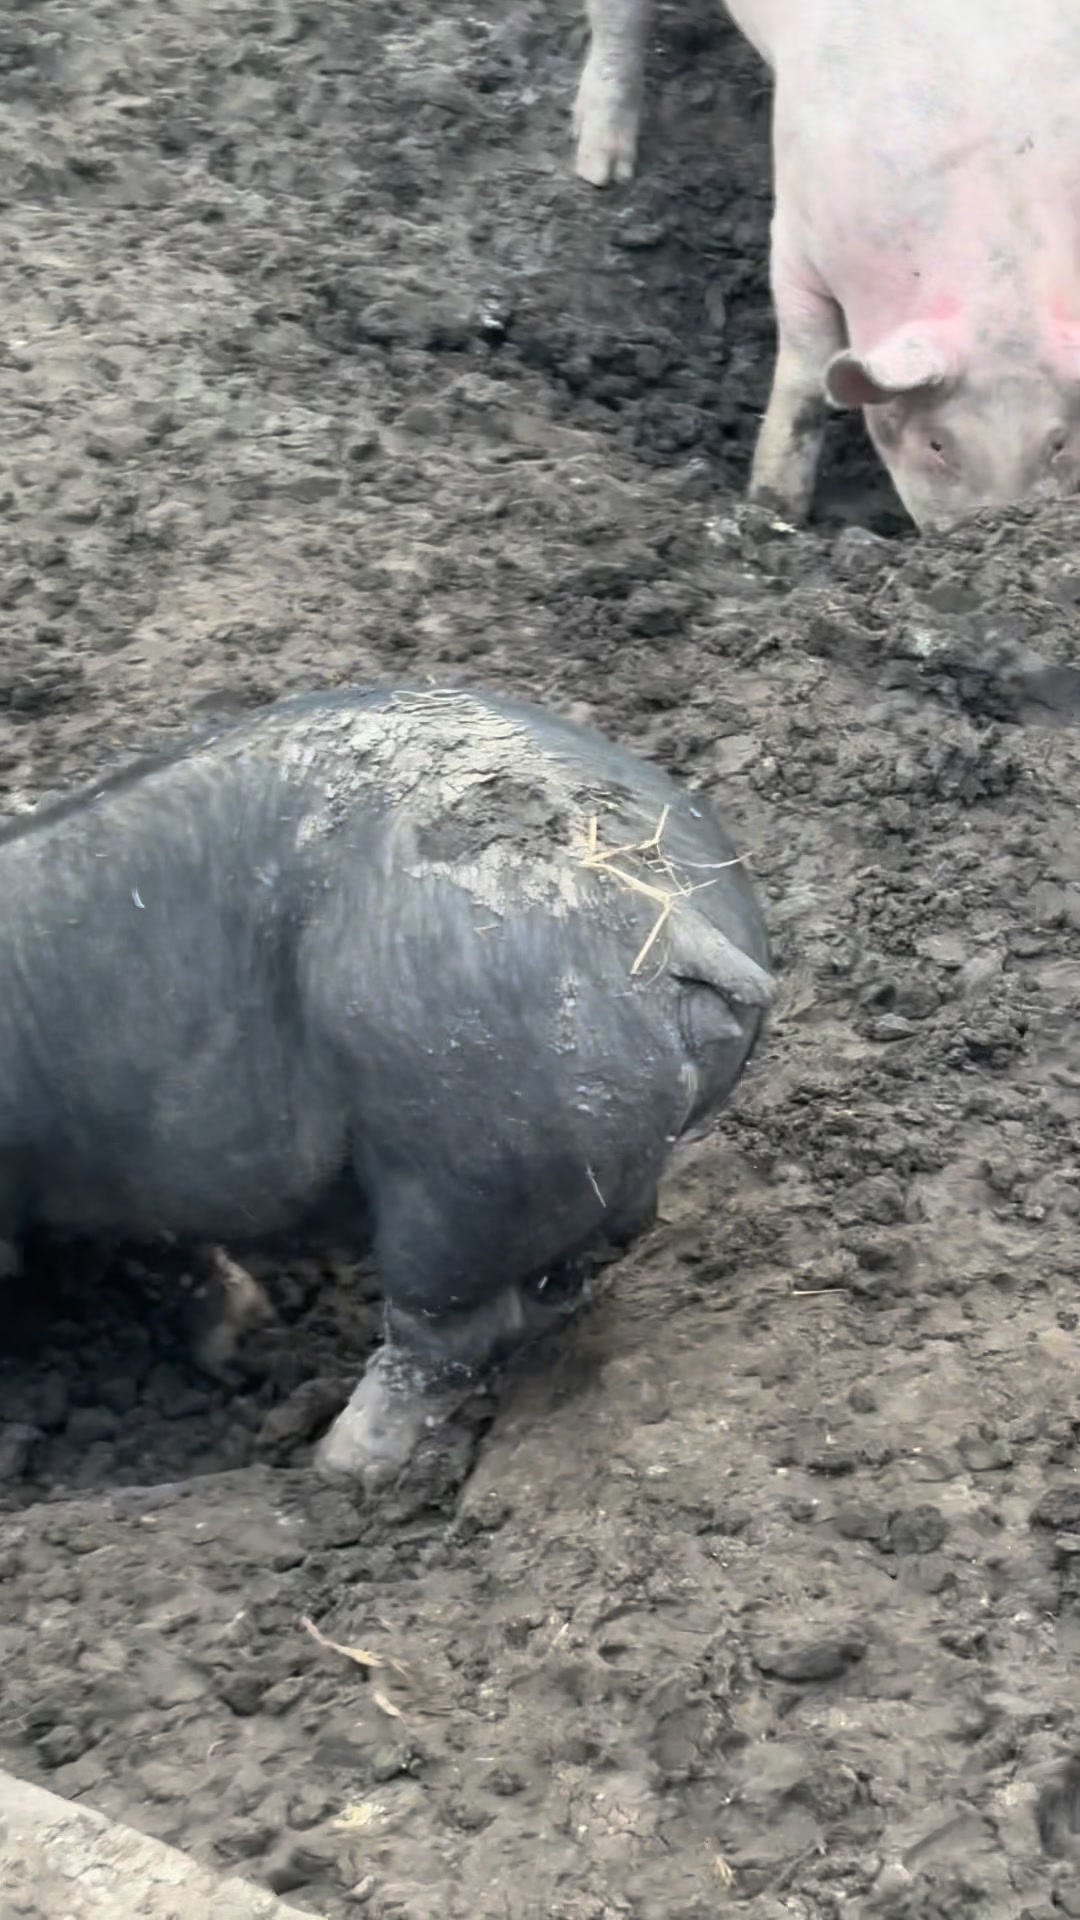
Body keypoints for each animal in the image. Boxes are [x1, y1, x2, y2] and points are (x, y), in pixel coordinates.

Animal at [572, 0, 1080, 529]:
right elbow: (806, 373)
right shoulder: (795, 244)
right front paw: (773, 508)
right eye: (937, 444)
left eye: (1059, 442)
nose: (997, 524)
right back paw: (599, 170)